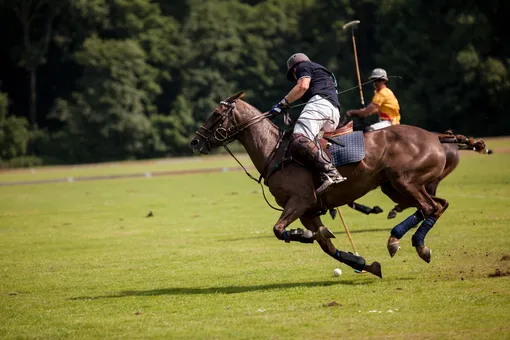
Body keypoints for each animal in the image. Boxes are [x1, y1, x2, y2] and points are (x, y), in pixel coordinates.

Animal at [188, 91, 486, 278]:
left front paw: (303, 235)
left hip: (404, 182)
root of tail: (436, 136)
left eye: (216, 114)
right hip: (394, 186)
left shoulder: (301, 201)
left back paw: (409, 243)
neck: (274, 150)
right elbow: (327, 246)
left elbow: (281, 230)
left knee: (430, 207)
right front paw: (364, 263)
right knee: (437, 205)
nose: (194, 141)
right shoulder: (308, 211)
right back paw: (401, 240)